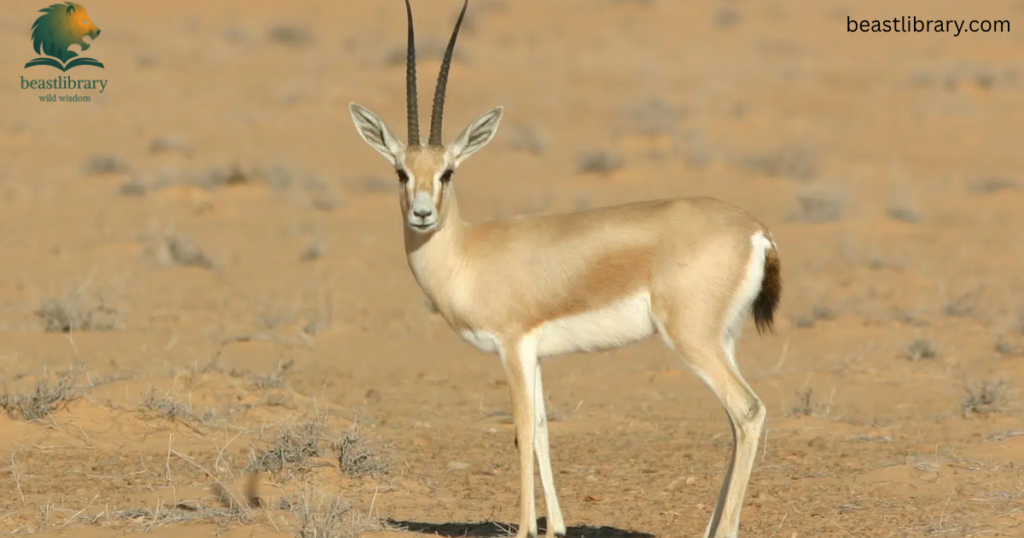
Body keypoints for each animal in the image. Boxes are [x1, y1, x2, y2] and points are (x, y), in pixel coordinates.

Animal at [347, 1, 782, 536]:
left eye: (447, 171)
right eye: (400, 172)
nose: (422, 214)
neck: (469, 254)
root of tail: (756, 229)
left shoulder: (512, 347)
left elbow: (518, 428)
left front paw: (525, 528)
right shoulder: (534, 355)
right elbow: (540, 431)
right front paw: (554, 526)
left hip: (693, 339)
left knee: (747, 410)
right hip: (725, 340)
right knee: (734, 419)